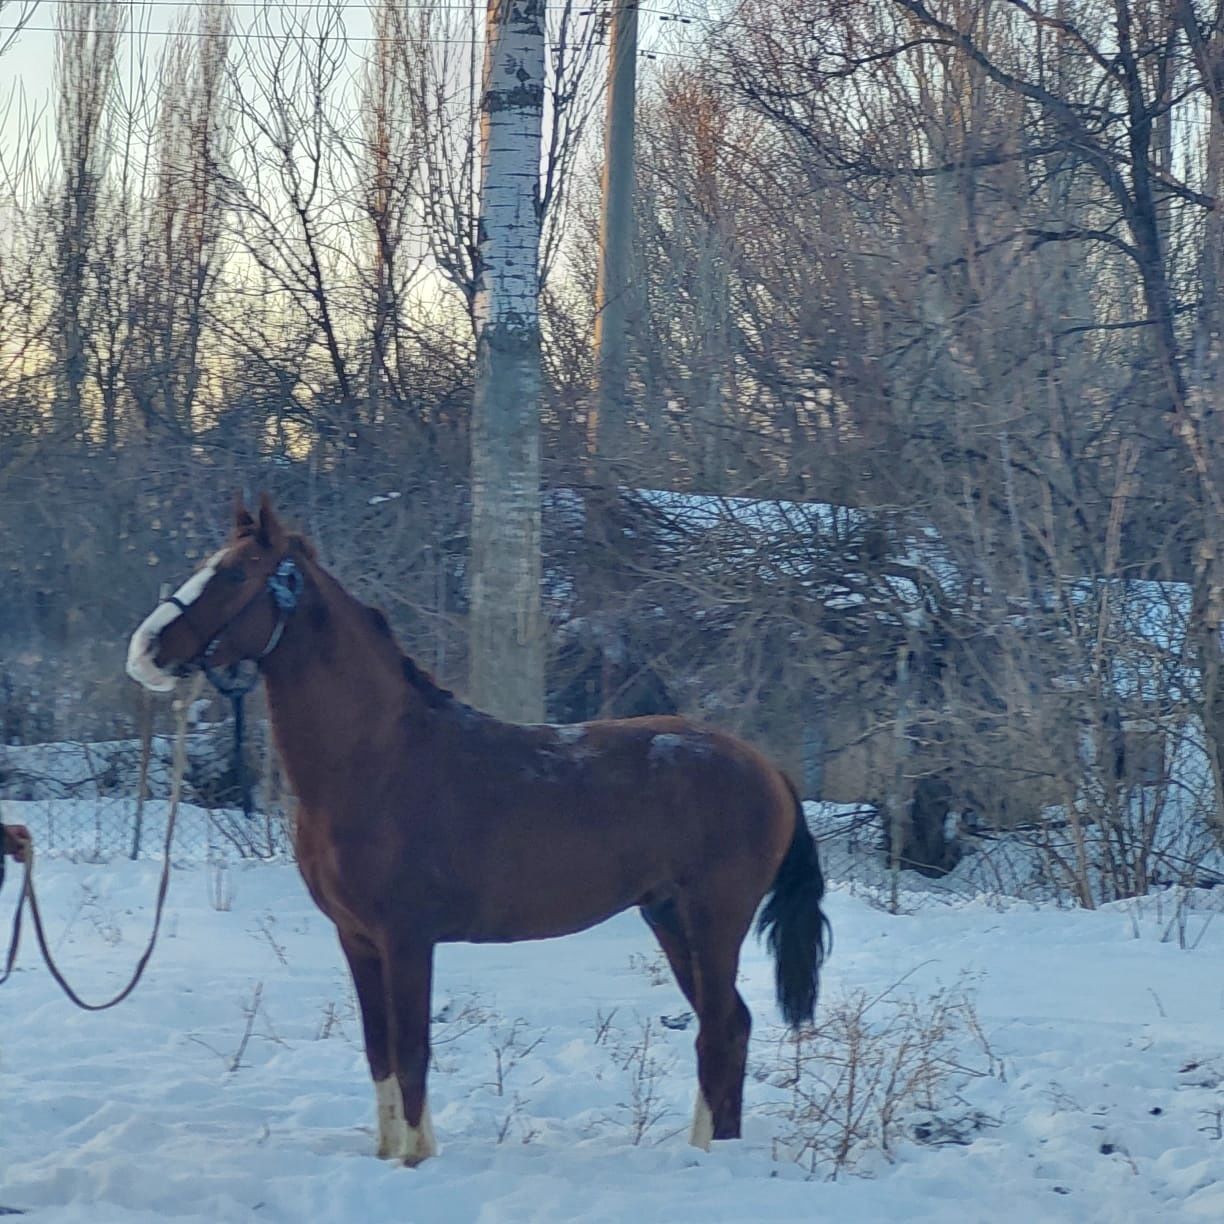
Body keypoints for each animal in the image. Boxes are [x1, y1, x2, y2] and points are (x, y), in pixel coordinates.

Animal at [126, 499, 832, 1165]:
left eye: (237, 572)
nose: (145, 652)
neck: (379, 762)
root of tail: (766, 768)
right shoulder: (358, 940)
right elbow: (380, 1052)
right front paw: (387, 1152)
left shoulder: (407, 939)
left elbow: (412, 1051)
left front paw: (415, 1157)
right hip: (669, 918)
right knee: (731, 1026)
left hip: (713, 920)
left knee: (718, 1031)